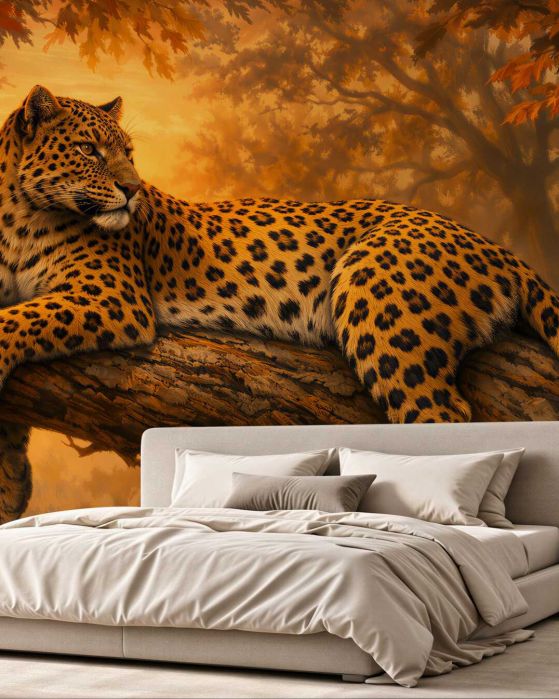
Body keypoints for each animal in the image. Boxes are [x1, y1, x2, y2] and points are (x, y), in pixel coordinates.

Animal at [1, 85, 559, 517]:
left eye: (129, 154)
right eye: (89, 150)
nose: (133, 189)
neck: (18, 218)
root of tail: (495, 246)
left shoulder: (112, 296)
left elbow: (20, 317)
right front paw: (10, 485)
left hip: (375, 302)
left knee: (439, 421)